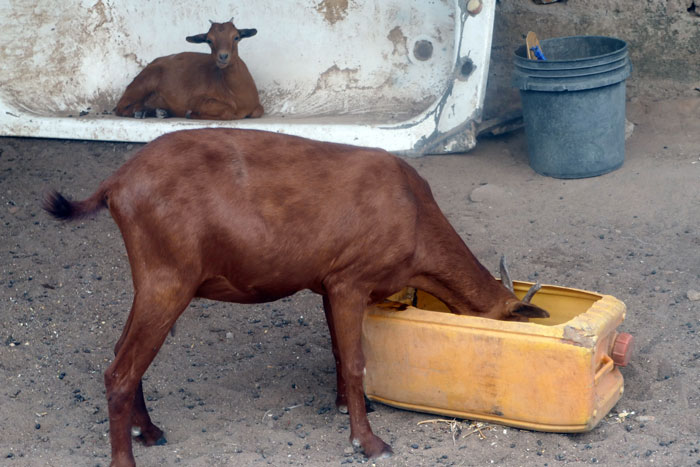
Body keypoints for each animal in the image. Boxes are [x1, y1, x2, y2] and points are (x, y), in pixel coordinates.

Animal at [43, 128, 548, 467]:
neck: (415, 217)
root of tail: (116, 183)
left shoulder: (328, 283)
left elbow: (338, 352)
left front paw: (345, 406)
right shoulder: (351, 280)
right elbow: (356, 360)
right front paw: (368, 441)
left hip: (152, 278)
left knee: (120, 353)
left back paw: (148, 431)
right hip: (168, 278)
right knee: (120, 370)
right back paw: (126, 456)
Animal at [115, 19, 263, 120]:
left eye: (236, 37)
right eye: (209, 40)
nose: (223, 57)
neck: (235, 92)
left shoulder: (256, 106)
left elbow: (258, 111)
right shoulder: (197, 100)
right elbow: (228, 112)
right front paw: (191, 114)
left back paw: (159, 112)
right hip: (144, 82)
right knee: (120, 107)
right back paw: (140, 112)